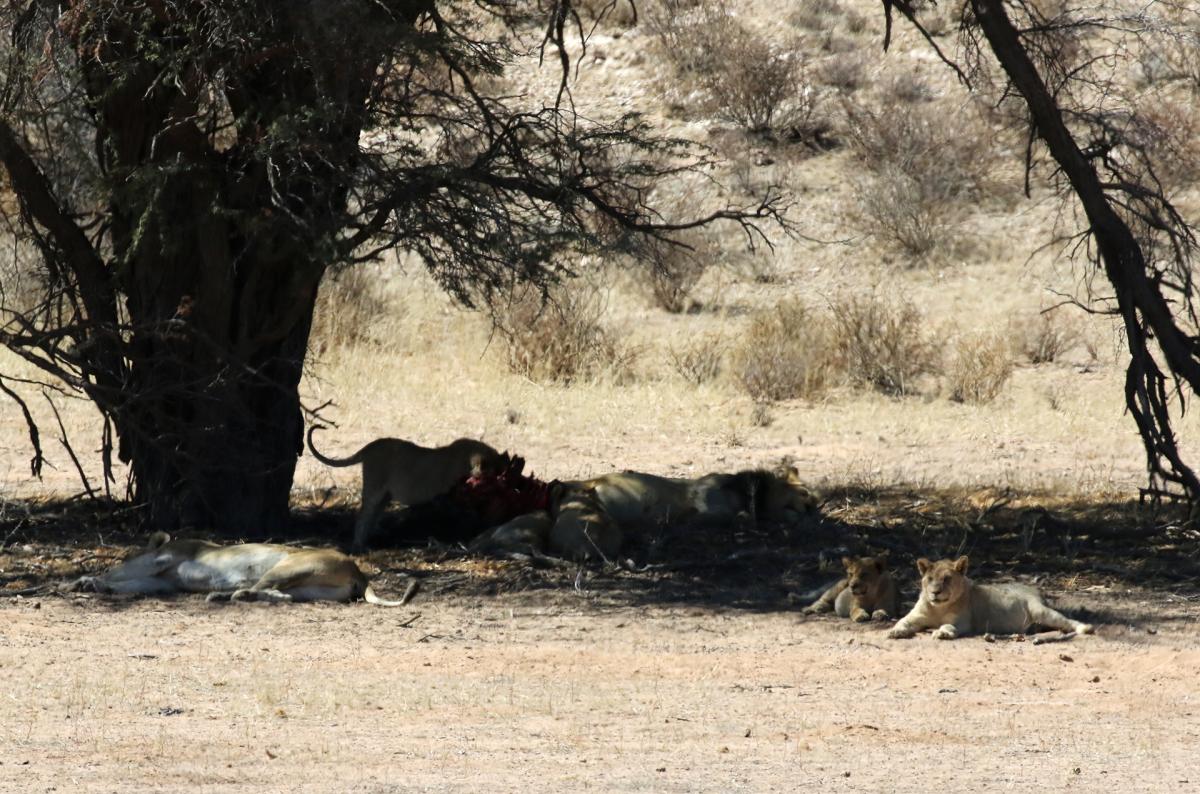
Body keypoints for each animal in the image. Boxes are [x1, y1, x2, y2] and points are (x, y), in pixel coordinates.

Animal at [307, 426, 508, 551]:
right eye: (494, 474)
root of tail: (371, 446)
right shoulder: (448, 497)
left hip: (385, 496)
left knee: (372, 515)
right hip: (374, 486)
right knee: (363, 515)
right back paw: (359, 546)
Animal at [883, 558, 1099, 642]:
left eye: (947, 579)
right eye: (929, 579)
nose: (935, 592)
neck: (938, 608)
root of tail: (1035, 590)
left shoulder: (962, 622)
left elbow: (948, 626)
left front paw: (942, 633)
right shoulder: (916, 617)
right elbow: (903, 621)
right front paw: (894, 631)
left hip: (1041, 611)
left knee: (1067, 621)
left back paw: (1085, 628)